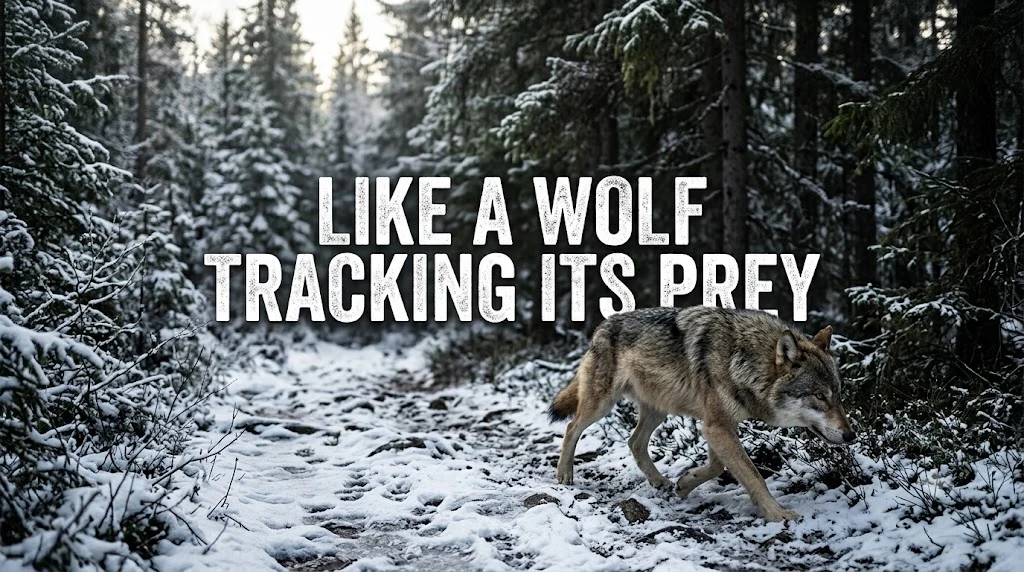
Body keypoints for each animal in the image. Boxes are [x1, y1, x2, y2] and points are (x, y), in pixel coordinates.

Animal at [548, 306, 855, 521]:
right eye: (819, 396)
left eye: (839, 395)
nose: (851, 435)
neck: (743, 359)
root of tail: (602, 325)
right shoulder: (716, 426)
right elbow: (753, 475)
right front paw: (777, 514)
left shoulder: (717, 426)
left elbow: (717, 467)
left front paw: (684, 485)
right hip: (602, 405)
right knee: (572, 427)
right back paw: (564, 475)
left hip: (657, 412)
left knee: (634, 442)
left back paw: (660, 482)